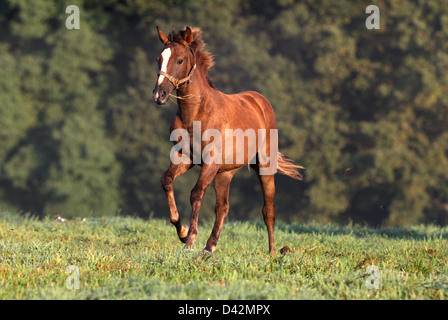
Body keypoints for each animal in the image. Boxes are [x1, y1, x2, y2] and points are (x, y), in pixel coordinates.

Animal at [152, 26, 302, 254]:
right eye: (159, 58)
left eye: (179, 60)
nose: (159, 95)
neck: (196, 114)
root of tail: (260, 101)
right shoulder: (185, 157)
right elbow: (167, 181)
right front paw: (183, 231)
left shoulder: (210, 162)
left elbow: (196, 194)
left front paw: (190, 241)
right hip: (226, 173)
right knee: (223, 207)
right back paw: (209, 247)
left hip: (264, 166)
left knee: (268, 210)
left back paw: (272, 252)